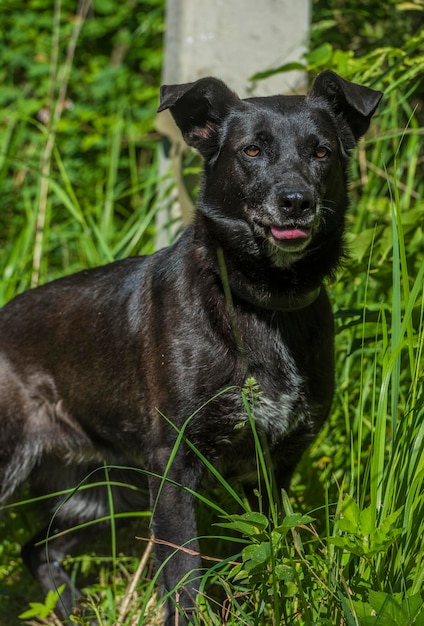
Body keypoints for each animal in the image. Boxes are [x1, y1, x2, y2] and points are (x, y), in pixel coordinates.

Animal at [0, 70, 382, 620]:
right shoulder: (174, 466)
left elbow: (267, 556)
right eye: (251, 150)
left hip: (102, 494)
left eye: (321, 151)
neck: (259, 303)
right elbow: (183, 576)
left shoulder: (274, 470)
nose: (295, 201)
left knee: (37, 550)